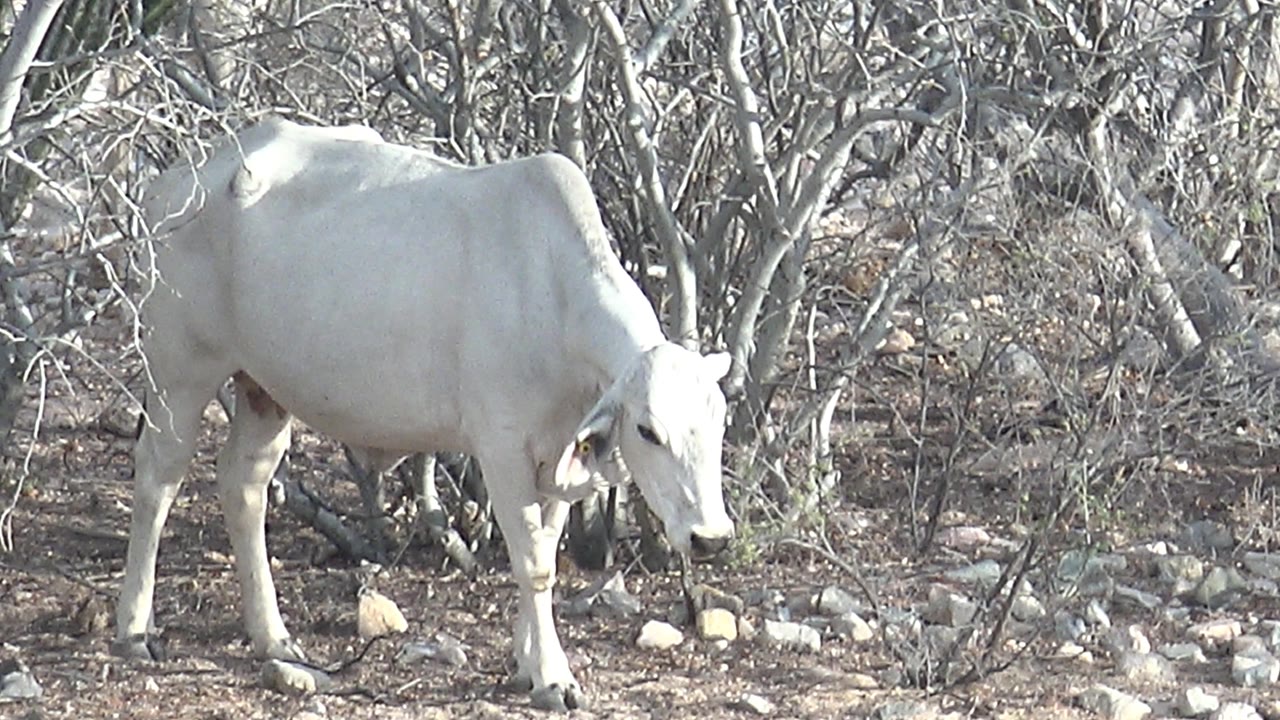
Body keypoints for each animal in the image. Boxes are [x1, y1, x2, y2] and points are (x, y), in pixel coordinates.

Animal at [113, 118, 735, 711]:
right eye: (648, 430)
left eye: (718, 426)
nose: (710, 537)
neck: (551, 293)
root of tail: (174, 183)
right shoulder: (502, 449)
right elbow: (534, 562)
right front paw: (553, 677)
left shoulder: (561, 456)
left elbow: (547, 552)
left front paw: (526, 662)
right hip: (178, 372)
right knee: (159, 477)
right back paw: (135, 628)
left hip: (265, 390)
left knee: (244, 484)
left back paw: (273, 636)